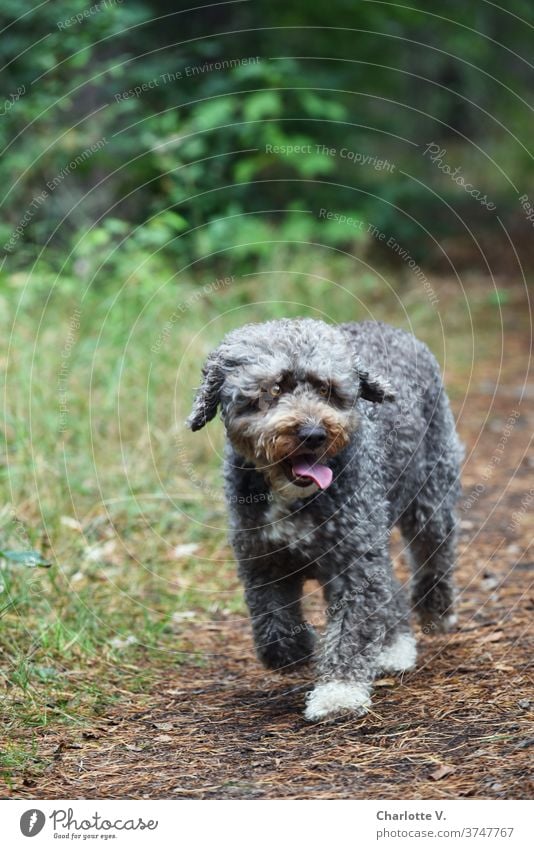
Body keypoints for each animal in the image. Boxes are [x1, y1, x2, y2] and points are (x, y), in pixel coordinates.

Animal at [186, 322, 462, 720]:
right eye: (273, 389)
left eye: (326, 389)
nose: (314, 434)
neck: (290, 495)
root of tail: (387, 327)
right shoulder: (261, 559)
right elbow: (272, 620)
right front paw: (294, 650)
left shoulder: (353, 564)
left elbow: (350, 632)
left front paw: (338, 694)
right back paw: (394, 646)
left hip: (430, 499)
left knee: (433, 555)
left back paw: (433, 614)